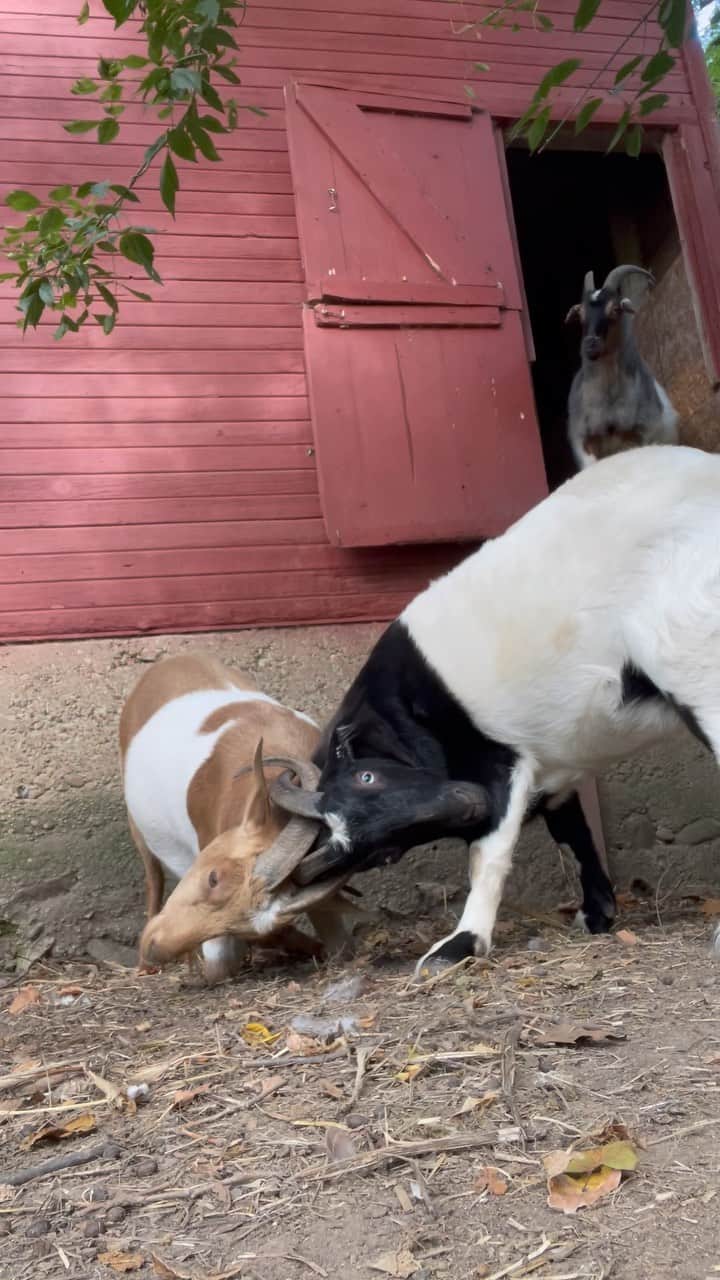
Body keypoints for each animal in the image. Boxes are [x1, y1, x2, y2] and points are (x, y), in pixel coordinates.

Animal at [120, 653, 352, 983]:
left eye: (239, 925)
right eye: (213, 877)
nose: (155, 946)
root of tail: (172, 661)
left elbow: (339, 944)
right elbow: (219, 968)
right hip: (137, 823)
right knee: (154, 877)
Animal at [269, 445, 720, 975]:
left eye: (367, 776)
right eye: (381, 855)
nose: (469, 803)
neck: (409, 710)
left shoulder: (498, 757)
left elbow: (489, 852)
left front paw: (456, 946)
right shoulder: (550, 774)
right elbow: (572, 833)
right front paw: (596, 914)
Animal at [566, 264, 679, 470]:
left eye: (616, 309)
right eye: (580, 314)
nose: (590, 344)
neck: (608, 402)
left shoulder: (641, 432)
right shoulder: (583, 439)